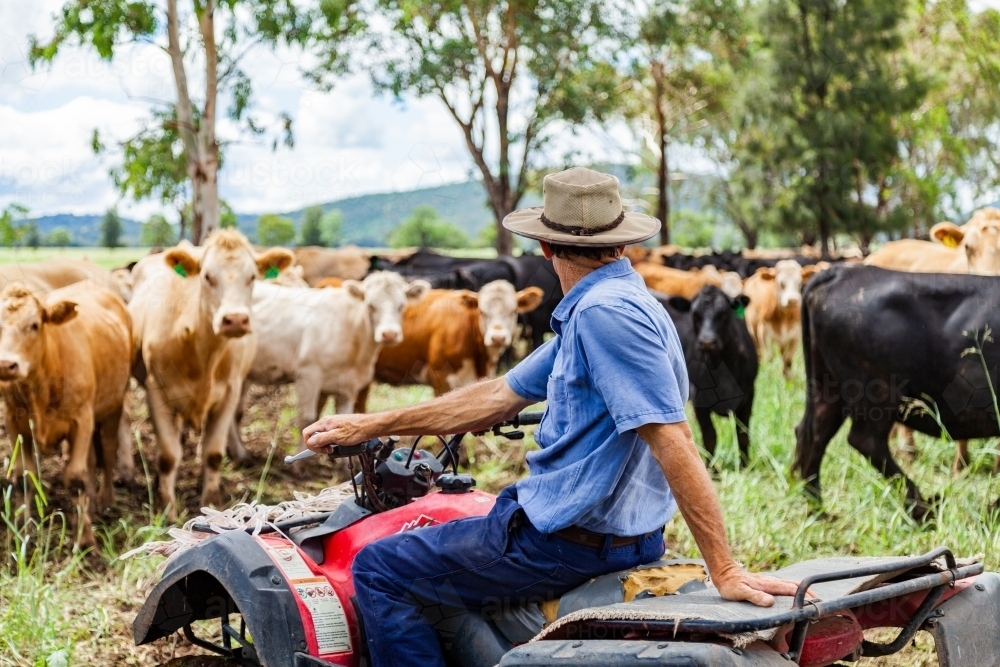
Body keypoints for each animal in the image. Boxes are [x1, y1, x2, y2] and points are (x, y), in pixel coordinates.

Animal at [0, 282, 131, 548]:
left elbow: (76, 479)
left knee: (108, 452)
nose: (6, 365)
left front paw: (85, 540)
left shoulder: (81, 419)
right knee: (91, 460)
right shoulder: (14, 422)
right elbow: (24, 477)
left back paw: (106, 501)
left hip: (114, 405)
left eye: (34, 325)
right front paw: (22, 530)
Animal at [656, 288, 756, 470]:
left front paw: (745, 467)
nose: (707, 341)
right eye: (695, 315)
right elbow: (710, 437)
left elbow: (743, 435)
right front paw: (711, 469)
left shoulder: (749, 395)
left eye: (723, 314)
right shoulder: (699, 400)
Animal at [796, 266, 1000, 520]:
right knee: (865, 441)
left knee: (814, 434)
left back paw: (818, 509)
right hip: (877, 393)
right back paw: (922, 508)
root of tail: (843, 271)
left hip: (827, 387)